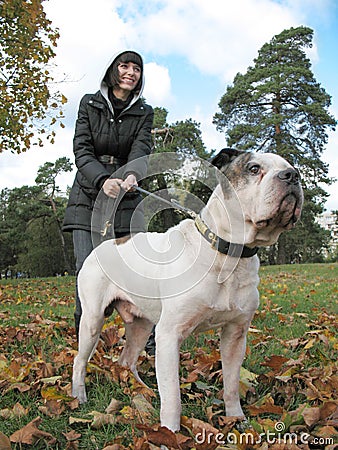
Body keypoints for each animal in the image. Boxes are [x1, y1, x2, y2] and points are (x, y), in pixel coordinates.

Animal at [72, 150, 304, 432]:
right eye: (253, 168)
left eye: (292, 168)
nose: (291, 175)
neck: (227, 255)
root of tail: (105, 244)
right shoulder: (170, 335)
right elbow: (173, 396)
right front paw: (170, 433)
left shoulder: (235, 335)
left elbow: (231, 383)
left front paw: (237, 419)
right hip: (92, 320)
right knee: (80, 359)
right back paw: (79, 396)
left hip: (141, 325)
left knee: (126, 360)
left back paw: (143, 391)